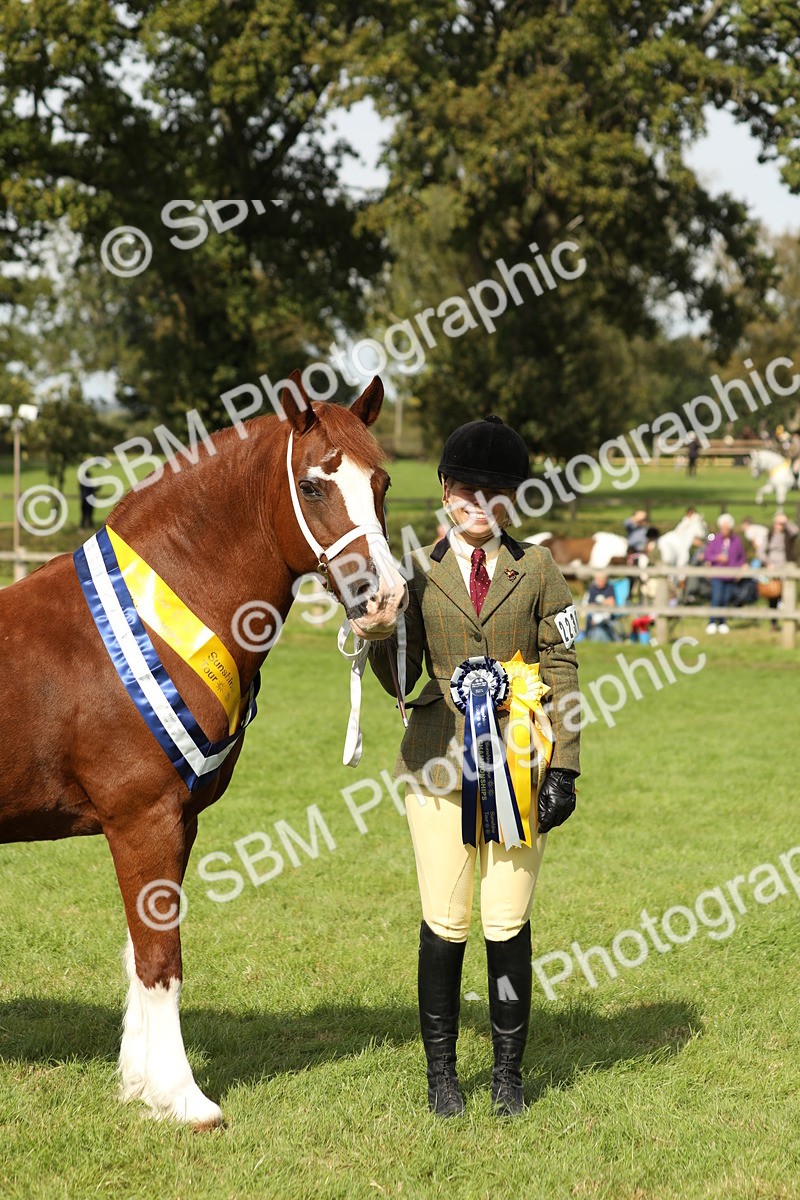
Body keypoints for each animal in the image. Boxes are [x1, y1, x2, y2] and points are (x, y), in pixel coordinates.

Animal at [0, 373, 407, 1129]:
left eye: (383, 482)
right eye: (313, 485)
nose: (386, 598)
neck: (155, 618)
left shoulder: (176, 822)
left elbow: (140, 951)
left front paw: (141, 1086)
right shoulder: (143, 819)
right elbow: (162, 958)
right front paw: (185, 1098)